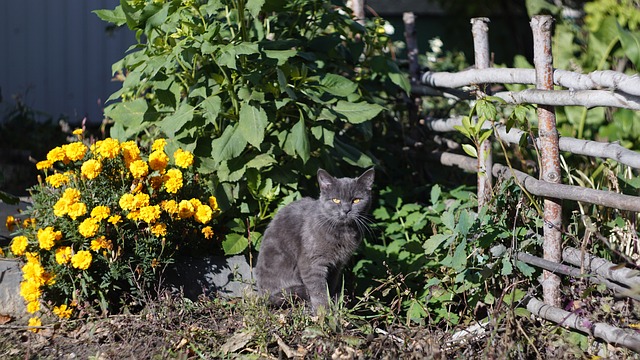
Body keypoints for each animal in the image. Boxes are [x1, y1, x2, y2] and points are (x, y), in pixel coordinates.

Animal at [255, 169, 376, 312]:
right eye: (336, 200)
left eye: (356, 200)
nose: (346, 210)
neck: (343, 232)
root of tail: (263, 295)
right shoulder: (312, 263)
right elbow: (318, 291)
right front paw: (324, 312)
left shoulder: (337, 265)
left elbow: (330, 285)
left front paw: (332, 305)